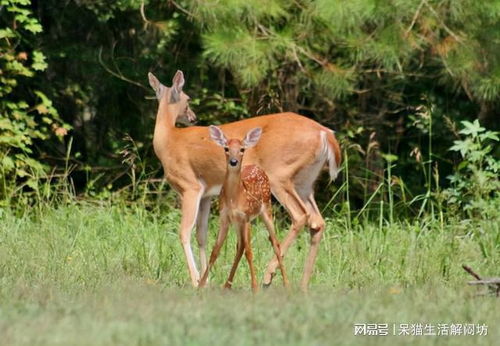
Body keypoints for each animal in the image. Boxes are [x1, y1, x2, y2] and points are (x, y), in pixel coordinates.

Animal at [199, 125, 290, 290]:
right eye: (226, 148)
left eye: (242, 149)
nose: (234, 161)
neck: (234, 198)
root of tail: (257, 167)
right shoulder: (225, 218)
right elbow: (215, 250)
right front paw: (200, 285)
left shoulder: (246, 217)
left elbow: (249, 251)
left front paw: (255, 288)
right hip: (238, 222)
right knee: (239, 246)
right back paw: (226, 286)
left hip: (266, 208)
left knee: (275, 243)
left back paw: (287, 285)